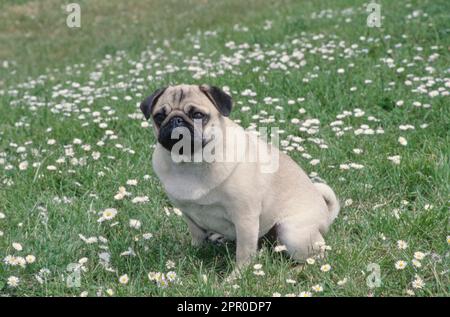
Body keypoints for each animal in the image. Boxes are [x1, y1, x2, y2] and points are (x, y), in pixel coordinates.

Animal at [139, 84, 340, 276]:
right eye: (159, 116)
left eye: (198, 115)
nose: (176, 120)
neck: (190, 162)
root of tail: (325, 213)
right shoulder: (188, 214)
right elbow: (196, 236)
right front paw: (194, 253)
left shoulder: (245, 218)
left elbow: (244, 253)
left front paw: (236, 277)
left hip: (291, 232)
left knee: (318, 257)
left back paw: (297, 270)